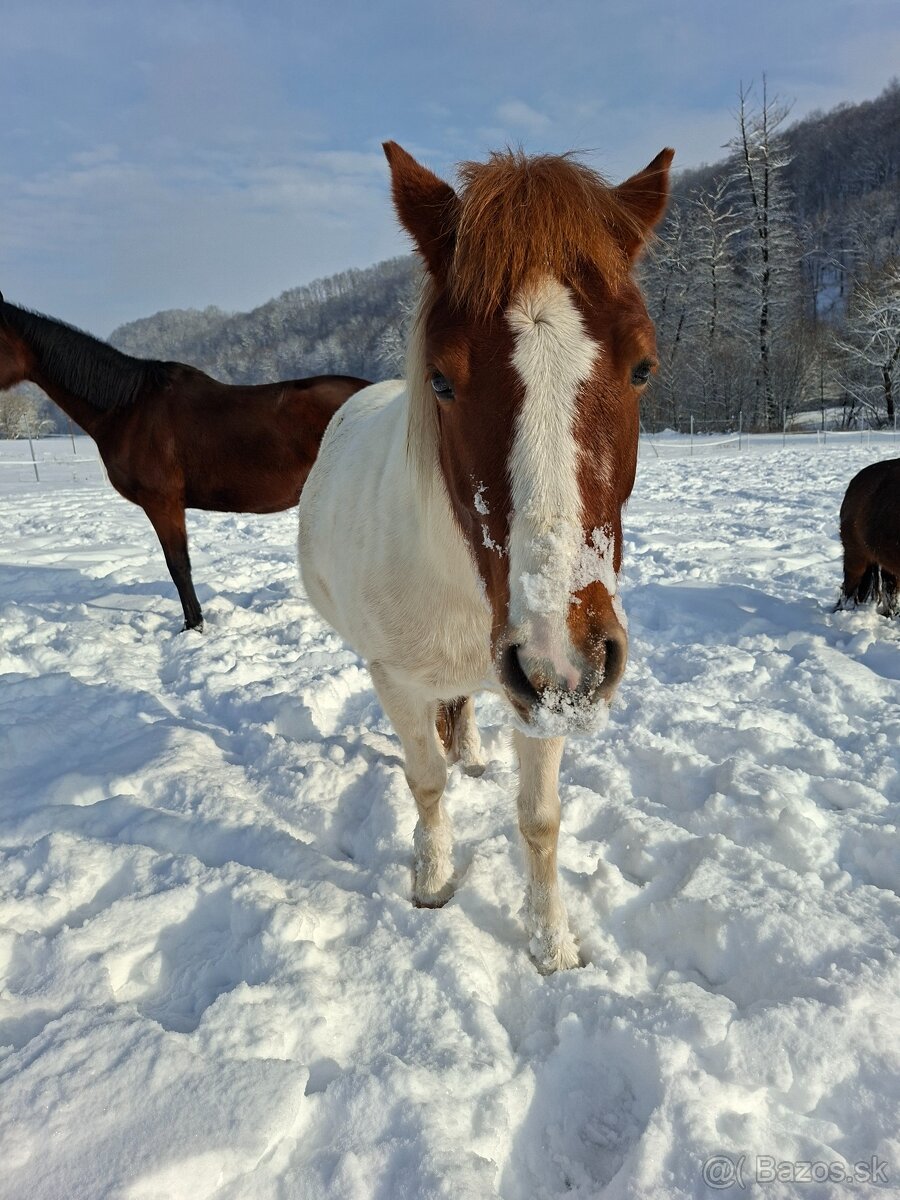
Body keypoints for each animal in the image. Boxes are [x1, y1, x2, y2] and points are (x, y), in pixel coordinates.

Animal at [298, 141, 673, 971]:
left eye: (642, 367)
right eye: (441, 378)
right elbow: (426, 782)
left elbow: (539, 818)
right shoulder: (398, 678)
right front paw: (434, 879)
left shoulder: (543, 694)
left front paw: (552, 946)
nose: (565, 654)